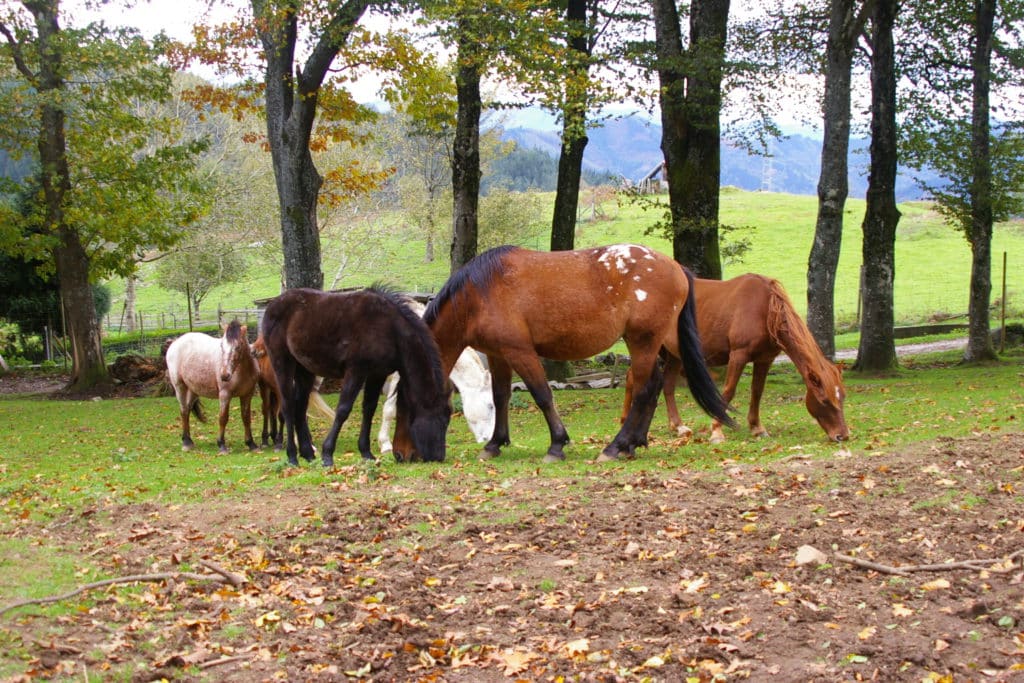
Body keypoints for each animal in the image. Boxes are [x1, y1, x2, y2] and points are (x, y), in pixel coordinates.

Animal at [163, 321, 260, 454]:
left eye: (238, 346)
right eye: (222, 346)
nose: (224, 375)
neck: (242, 370)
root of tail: (175, 342)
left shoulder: (247, 394)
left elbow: (246, 417)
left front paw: (251, 444)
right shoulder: (225, 394)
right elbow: (223, 418)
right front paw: (221, 445)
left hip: (193, 390)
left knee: (187, 410)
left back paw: (189, 440)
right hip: (180, 386)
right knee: (183, 411)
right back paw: (186, 443)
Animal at [258, 286, 450, 466]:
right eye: (441, 420)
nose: (439, 457)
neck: (388, 328)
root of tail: (273, 305)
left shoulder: (376, 375)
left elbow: (369, 409)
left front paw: (366, 452)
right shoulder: (356, 371)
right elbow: (343, 409)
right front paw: (327, 454)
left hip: (304, 370)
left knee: (300, 407)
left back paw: (308, 454)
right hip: (282, 363)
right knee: (288, 407)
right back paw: (292, 456)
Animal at [387, 242, 733, 462]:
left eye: (407, 408)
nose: (401, 454)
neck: (479, 293)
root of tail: (676, 268)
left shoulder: (521, 352)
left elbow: (542, 395)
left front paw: (556, 445)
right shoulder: (499, 355)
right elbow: (501, 396)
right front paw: (495, 444)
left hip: (642, 342)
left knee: (645, 390)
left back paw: (616, 446)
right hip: (650, 344)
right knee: (655, 385)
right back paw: (633, 444)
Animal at [622, 274, 847, 446]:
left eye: (842, 397)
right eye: (825, 401)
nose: (842, 435)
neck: (765, 309)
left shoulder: (764, 359)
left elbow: (757, 392)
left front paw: (757, 428)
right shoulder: (738, 355)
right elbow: (728, 392)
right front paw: (716, 430)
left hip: (674, 355)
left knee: (667, 385)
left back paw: (678, 426)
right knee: (632, 377)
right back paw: (626, 422)